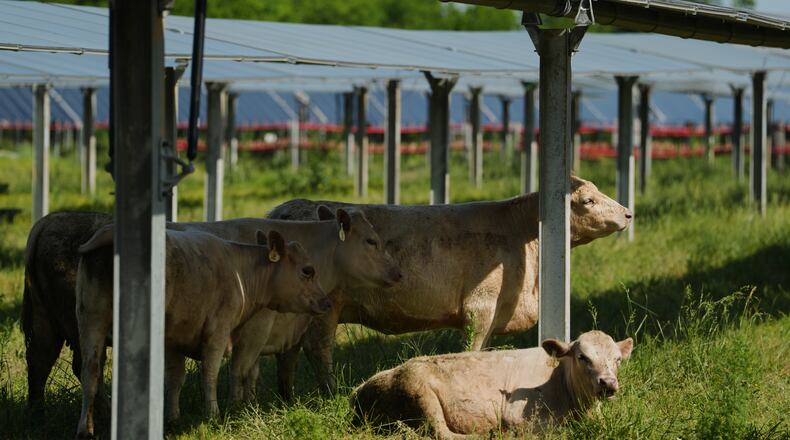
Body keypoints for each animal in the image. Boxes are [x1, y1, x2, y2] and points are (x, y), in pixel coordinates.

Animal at [75, 227, 329, 438]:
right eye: (308, 270)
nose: (325, 302)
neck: (239, 272)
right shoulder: (218, 330)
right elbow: (214, 372)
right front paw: (218, 414)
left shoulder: (173, 341)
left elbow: (175, 378)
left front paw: (173, 417)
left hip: (91, 317)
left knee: (91, 371)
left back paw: (85, 429)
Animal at [268, 176, 632, 394]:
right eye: (587, 200)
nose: (628, 213)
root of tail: (285, 209)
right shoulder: (480, 307)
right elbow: (472, 349)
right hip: (323, 309)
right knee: (318, 349)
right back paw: (330, 393)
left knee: (288, 353)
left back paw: (288, 397)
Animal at [351, 330, 634, 438]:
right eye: (582, 357)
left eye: (617, 359)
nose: (608, 383)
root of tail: (360, 389)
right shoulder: (518, 416)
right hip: (420, 392)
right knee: (443, 434)